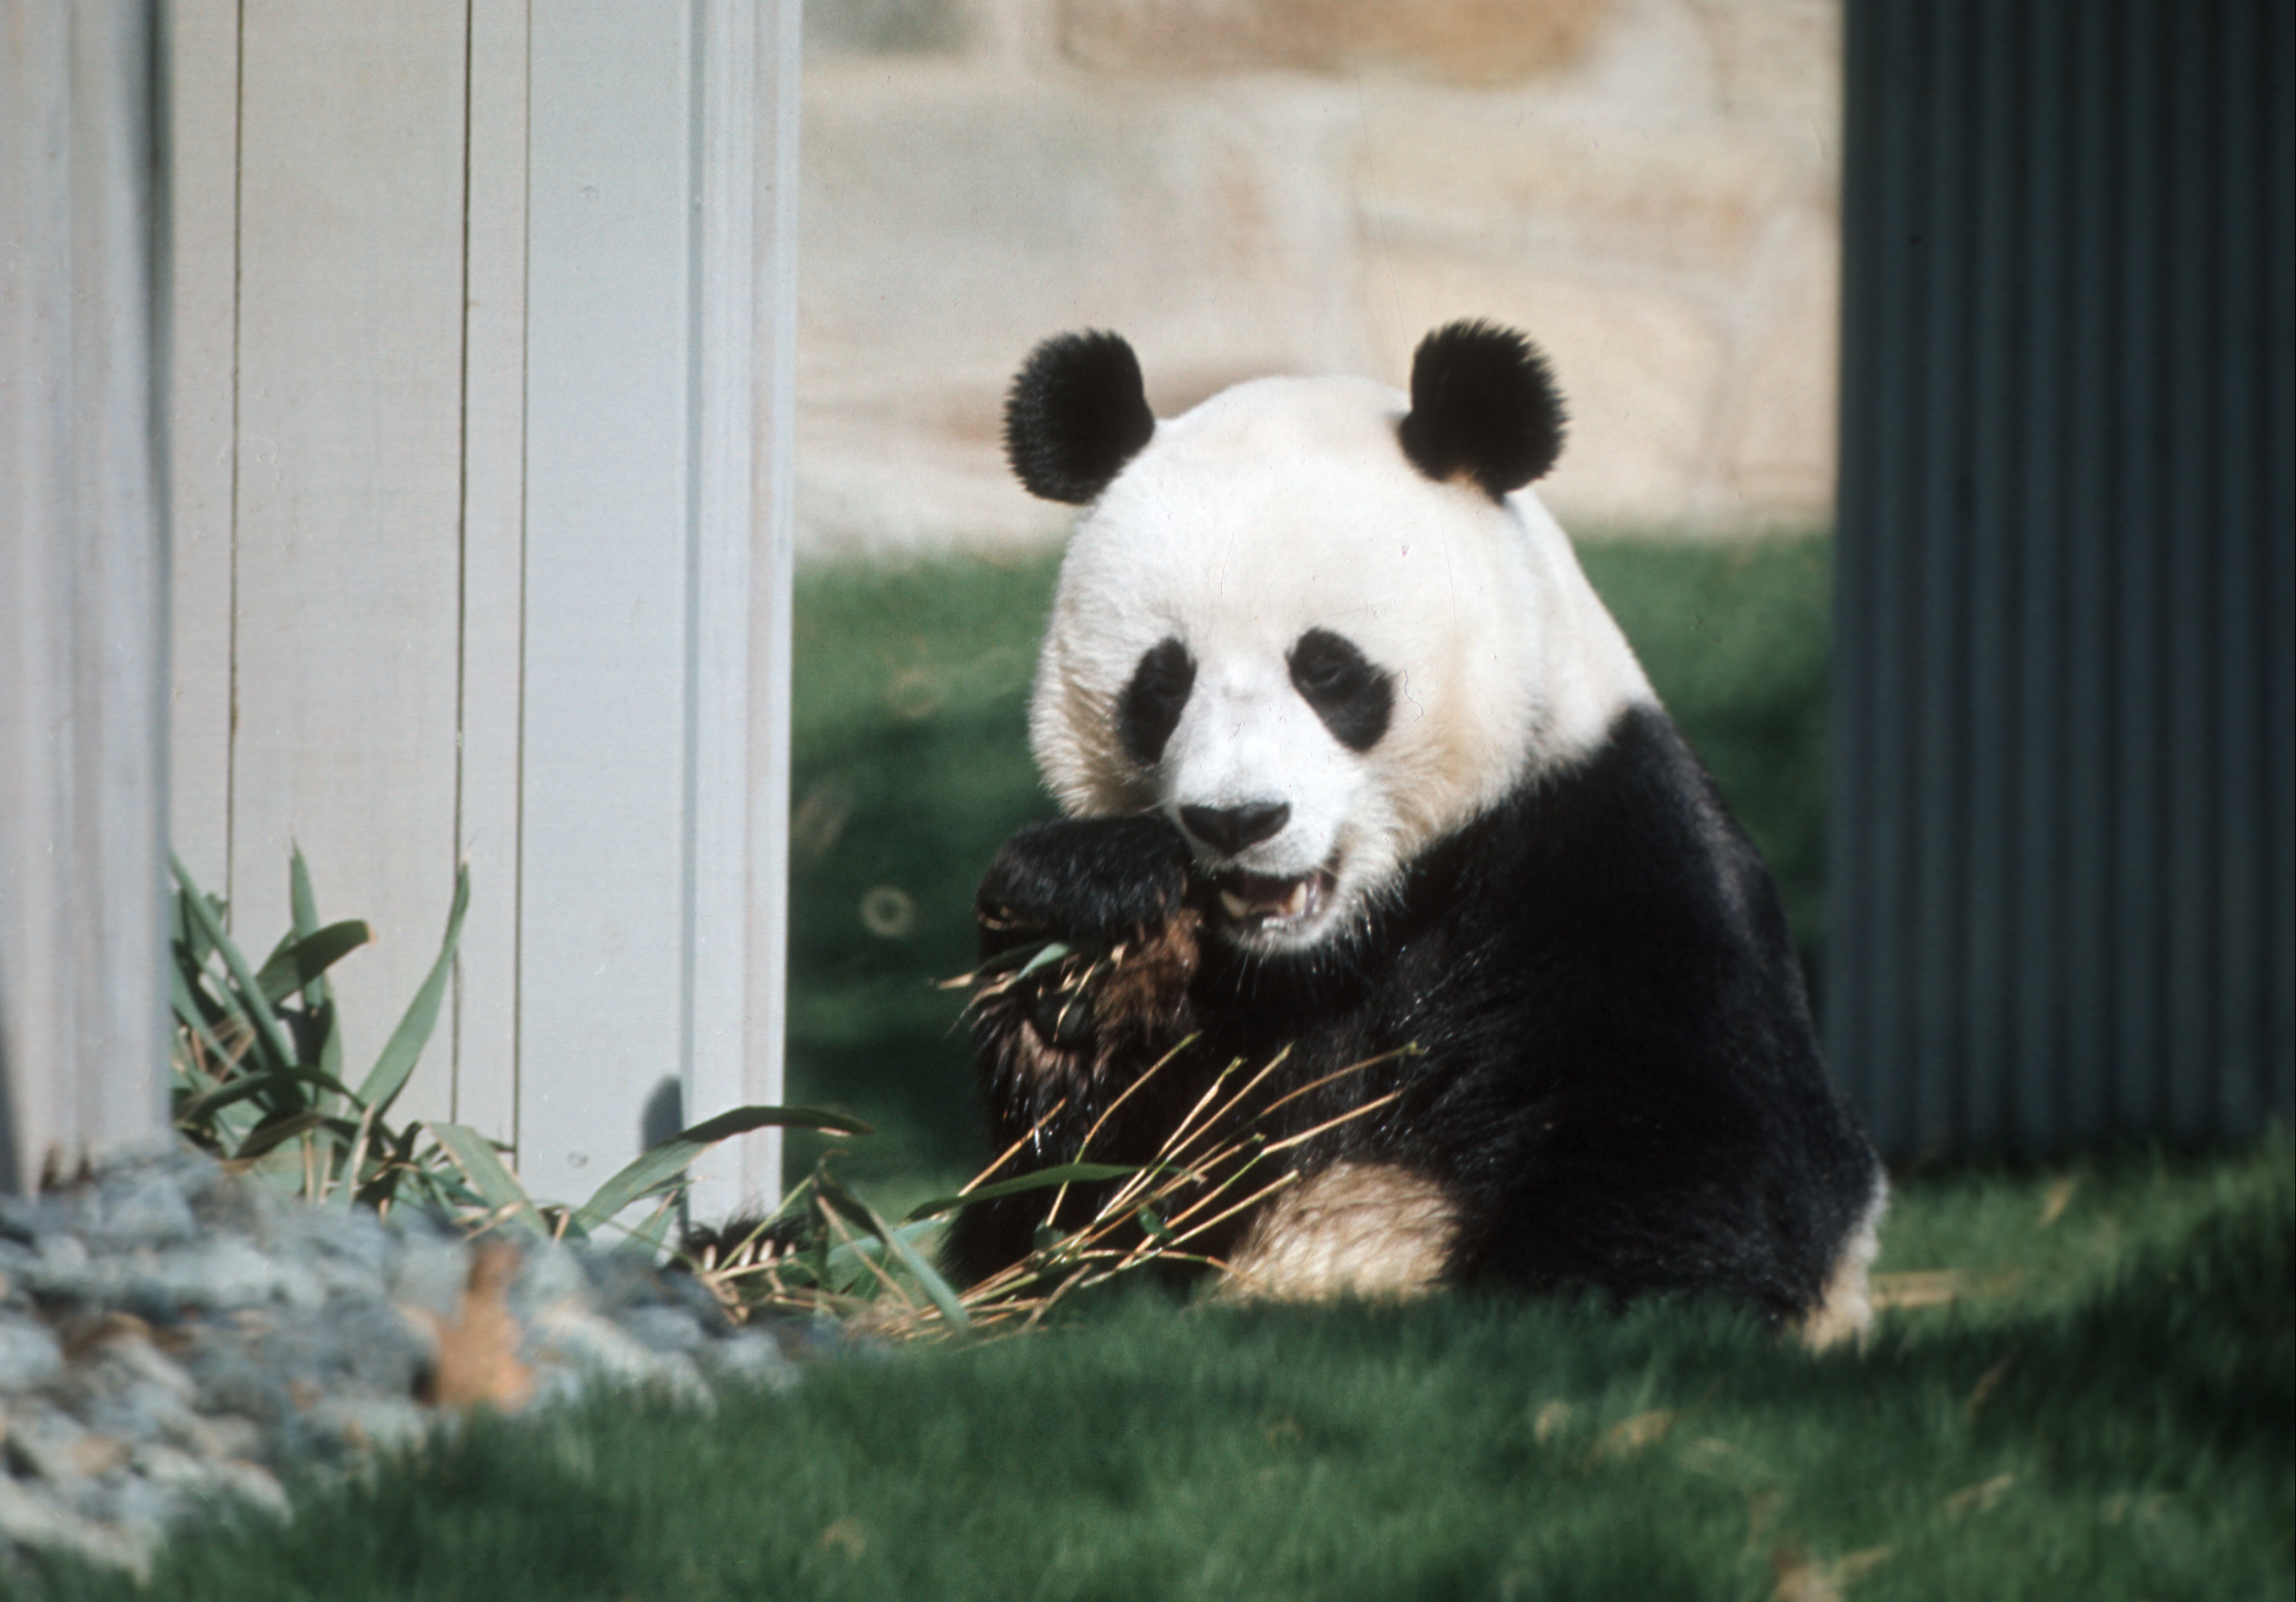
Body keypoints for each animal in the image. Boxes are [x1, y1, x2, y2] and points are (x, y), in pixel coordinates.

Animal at [943, 320, 1886, 1346]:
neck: (1328, 947)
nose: (1237, 820)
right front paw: (1094, 944)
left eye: (1327, 671)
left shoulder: (1603, 855)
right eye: (1162, 683)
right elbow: (1054, 1230)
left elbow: (1697, 1173)